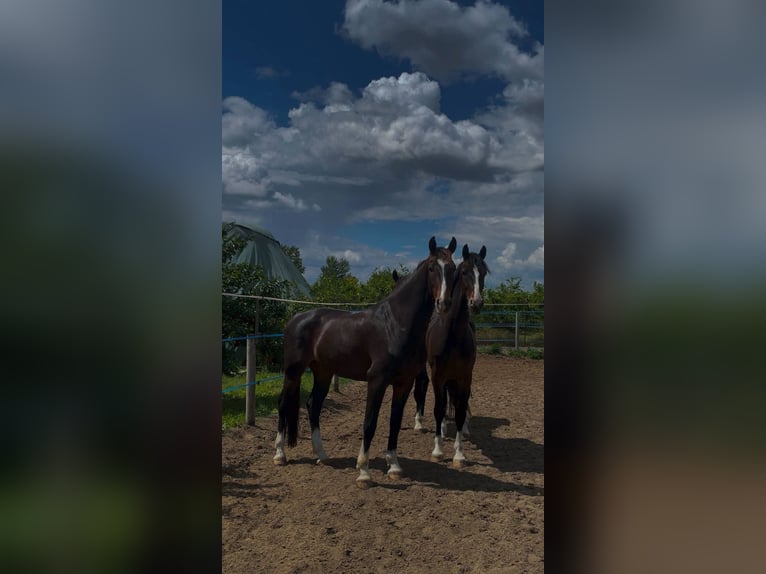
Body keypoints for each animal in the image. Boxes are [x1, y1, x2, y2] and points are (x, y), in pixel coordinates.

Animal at [273, 236, 458, 487]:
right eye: (432, 267)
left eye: (453, 268)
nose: (444, 303)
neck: (395, 324)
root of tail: (296, 318)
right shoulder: (377, 381)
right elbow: (370, 422)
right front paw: (364, 472)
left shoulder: (404, 383)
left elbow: (394, 422)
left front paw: (394, 467)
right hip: (293, 371)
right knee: (283, 403)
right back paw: (280, 454)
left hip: (323, 372)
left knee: (313, 405)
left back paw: (322, 454)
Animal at [424, 244, 488, 468]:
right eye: (465, 272)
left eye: (483, 273)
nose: (476, 303)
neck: (452, 336)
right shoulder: (437, 376)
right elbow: (438, 408)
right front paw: (437, 450)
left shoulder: (465, 377)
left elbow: (460, 410)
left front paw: (459, 454)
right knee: (443, 404)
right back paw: (442, 429)